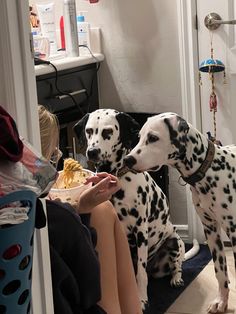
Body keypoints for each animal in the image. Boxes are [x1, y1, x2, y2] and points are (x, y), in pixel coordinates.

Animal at [73, 109, 197, 308]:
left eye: (108, 132)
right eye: (89, 131)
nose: (92, 152)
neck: (117, 178)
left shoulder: (140, 232)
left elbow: (140, 273)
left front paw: (140, 299)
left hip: (174, 242)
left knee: (176, 266)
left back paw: (176, 278)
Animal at [123, 111, 236, 312]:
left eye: (153, 138)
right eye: (139, 137)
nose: (128, 160)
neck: (211, 171)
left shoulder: (234, 230)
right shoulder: (212, 231)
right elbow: (220, 271)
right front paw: (221, 301)